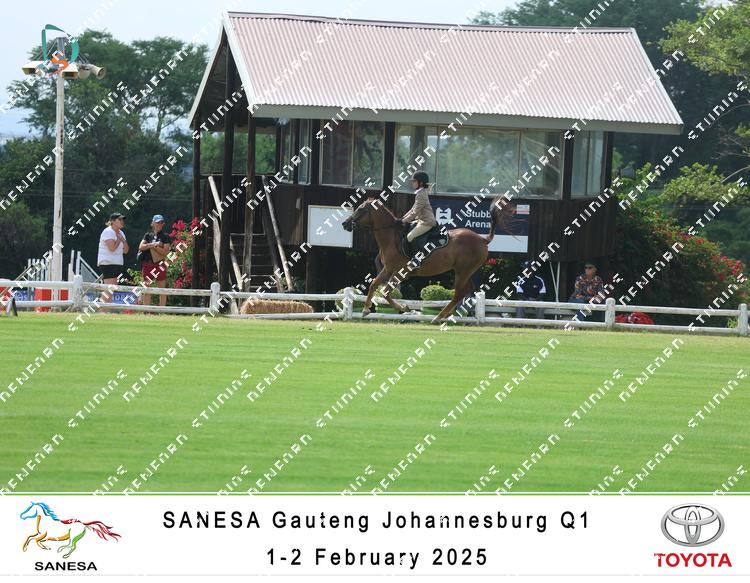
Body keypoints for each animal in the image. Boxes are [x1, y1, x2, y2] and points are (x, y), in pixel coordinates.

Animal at [341, 195, 515, 322]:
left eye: (361, 210)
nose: (345, 224)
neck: (392, 236)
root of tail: (482, 239)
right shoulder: (388, 269)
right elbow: (375, 286)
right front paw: (367, 310)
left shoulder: (398, 271)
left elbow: (384, 290)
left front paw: (401, 308)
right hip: (467, 271)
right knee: (467, 291)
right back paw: (447, 316)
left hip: (463, 271)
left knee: (459, 292)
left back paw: (439, 317)